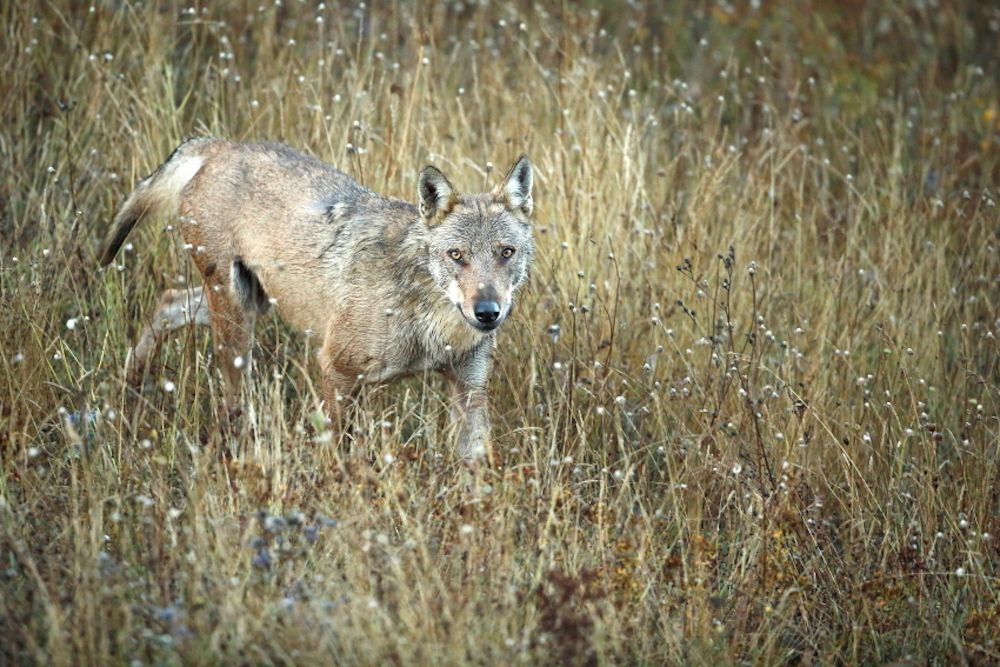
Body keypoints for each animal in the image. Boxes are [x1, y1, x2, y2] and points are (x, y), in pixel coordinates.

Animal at [100, 138, 535, 460]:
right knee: (231, 400)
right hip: (238, 324)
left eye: (506, 252)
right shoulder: (337, 369)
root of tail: (220, 144)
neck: (432, 325)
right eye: (456, 255)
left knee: (169, 302)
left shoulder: (469, 388)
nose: (487, 313)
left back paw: (128, 389)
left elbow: (475, 473)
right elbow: (337, 455)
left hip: (248, 304)